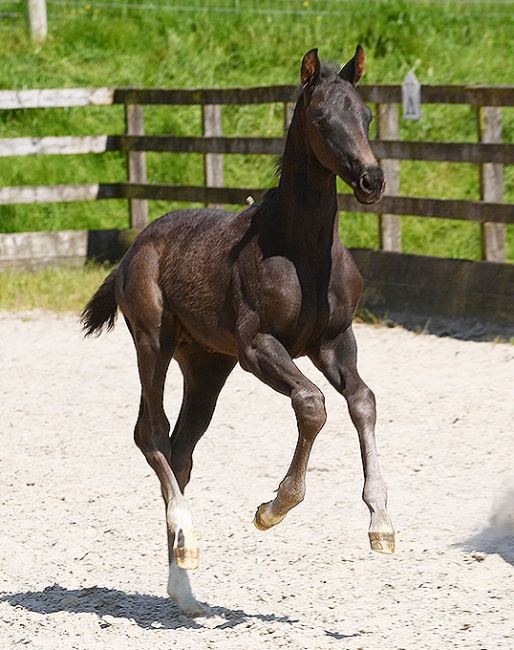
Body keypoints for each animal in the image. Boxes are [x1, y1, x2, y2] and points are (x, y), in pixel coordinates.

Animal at [82, 48, 392, 616]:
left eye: (366, 115)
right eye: (321, 118)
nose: (371, 180)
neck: (301, 250)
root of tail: (134, 247)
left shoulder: (334, 342)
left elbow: (363, 401)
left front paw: (381, 523)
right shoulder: (258, 348)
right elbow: (312, 404)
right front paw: (274, 507)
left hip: (206, 364)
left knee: (181, 448)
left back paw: (184, 586)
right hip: (153, 343)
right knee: (150, 432)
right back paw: (186, 538)